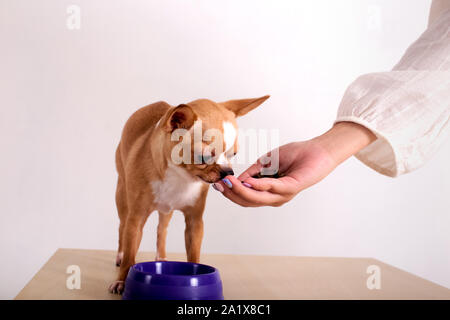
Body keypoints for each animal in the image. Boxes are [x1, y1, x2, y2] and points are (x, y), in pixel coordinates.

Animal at [108, 94, 270, 292]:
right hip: (122, 198)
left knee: (162, 229)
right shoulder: (136, 219)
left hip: (166, 210)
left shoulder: (195, 222)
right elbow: (131, 254)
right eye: (204, 157)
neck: (179, 177)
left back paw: (161, 257)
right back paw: (120, 255)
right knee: (122, 228)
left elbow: (194, 253)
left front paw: (196, 274)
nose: (228, 172)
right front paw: (122, 280)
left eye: (233, 155)